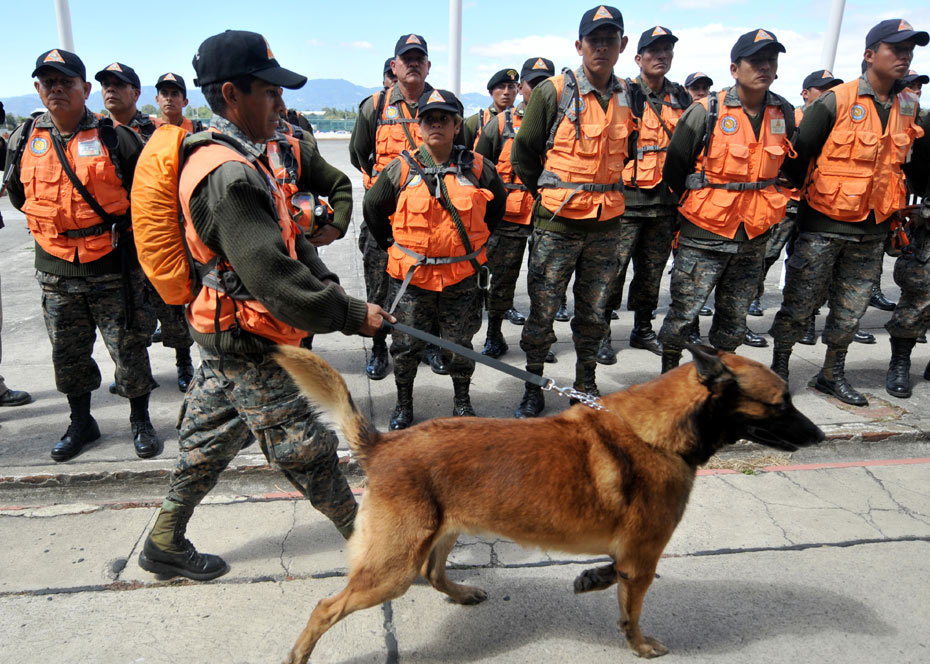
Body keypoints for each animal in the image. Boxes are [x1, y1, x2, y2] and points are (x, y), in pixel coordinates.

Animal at [274, 344, 820, 660]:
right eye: (782, 403)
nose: (816, 435)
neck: (659, 433)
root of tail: (382, 444)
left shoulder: (633, 556)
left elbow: (613, 576)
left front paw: (592, 578)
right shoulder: (643, 558)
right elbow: (632, 610)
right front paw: (639, 644)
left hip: (439, 534)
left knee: (433, 571)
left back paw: (463, 592)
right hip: (391, 569)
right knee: (326, 607)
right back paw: (299, 654)